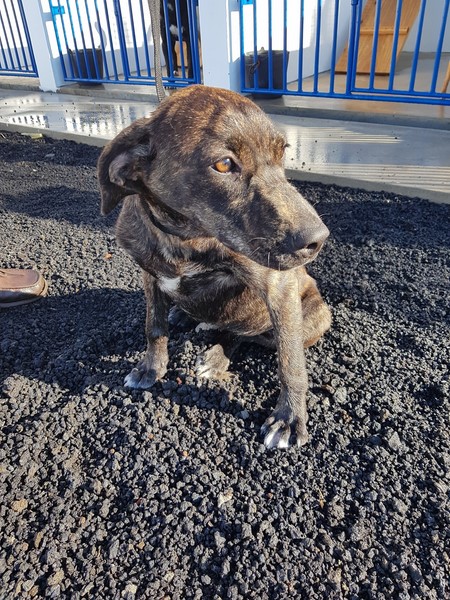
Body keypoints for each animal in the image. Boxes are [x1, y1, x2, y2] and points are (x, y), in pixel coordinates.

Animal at [97, 85, 331, 449]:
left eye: (282, 154)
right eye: (223, 164)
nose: (318, 239)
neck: (184, 239)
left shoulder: (277, 285)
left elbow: (289, 362)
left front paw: (289, 418)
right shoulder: (149, 274)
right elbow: (154, 327)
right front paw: (151, 368)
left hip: (312, 317)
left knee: (247, 335)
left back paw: (215, 357)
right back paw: (184, 317)